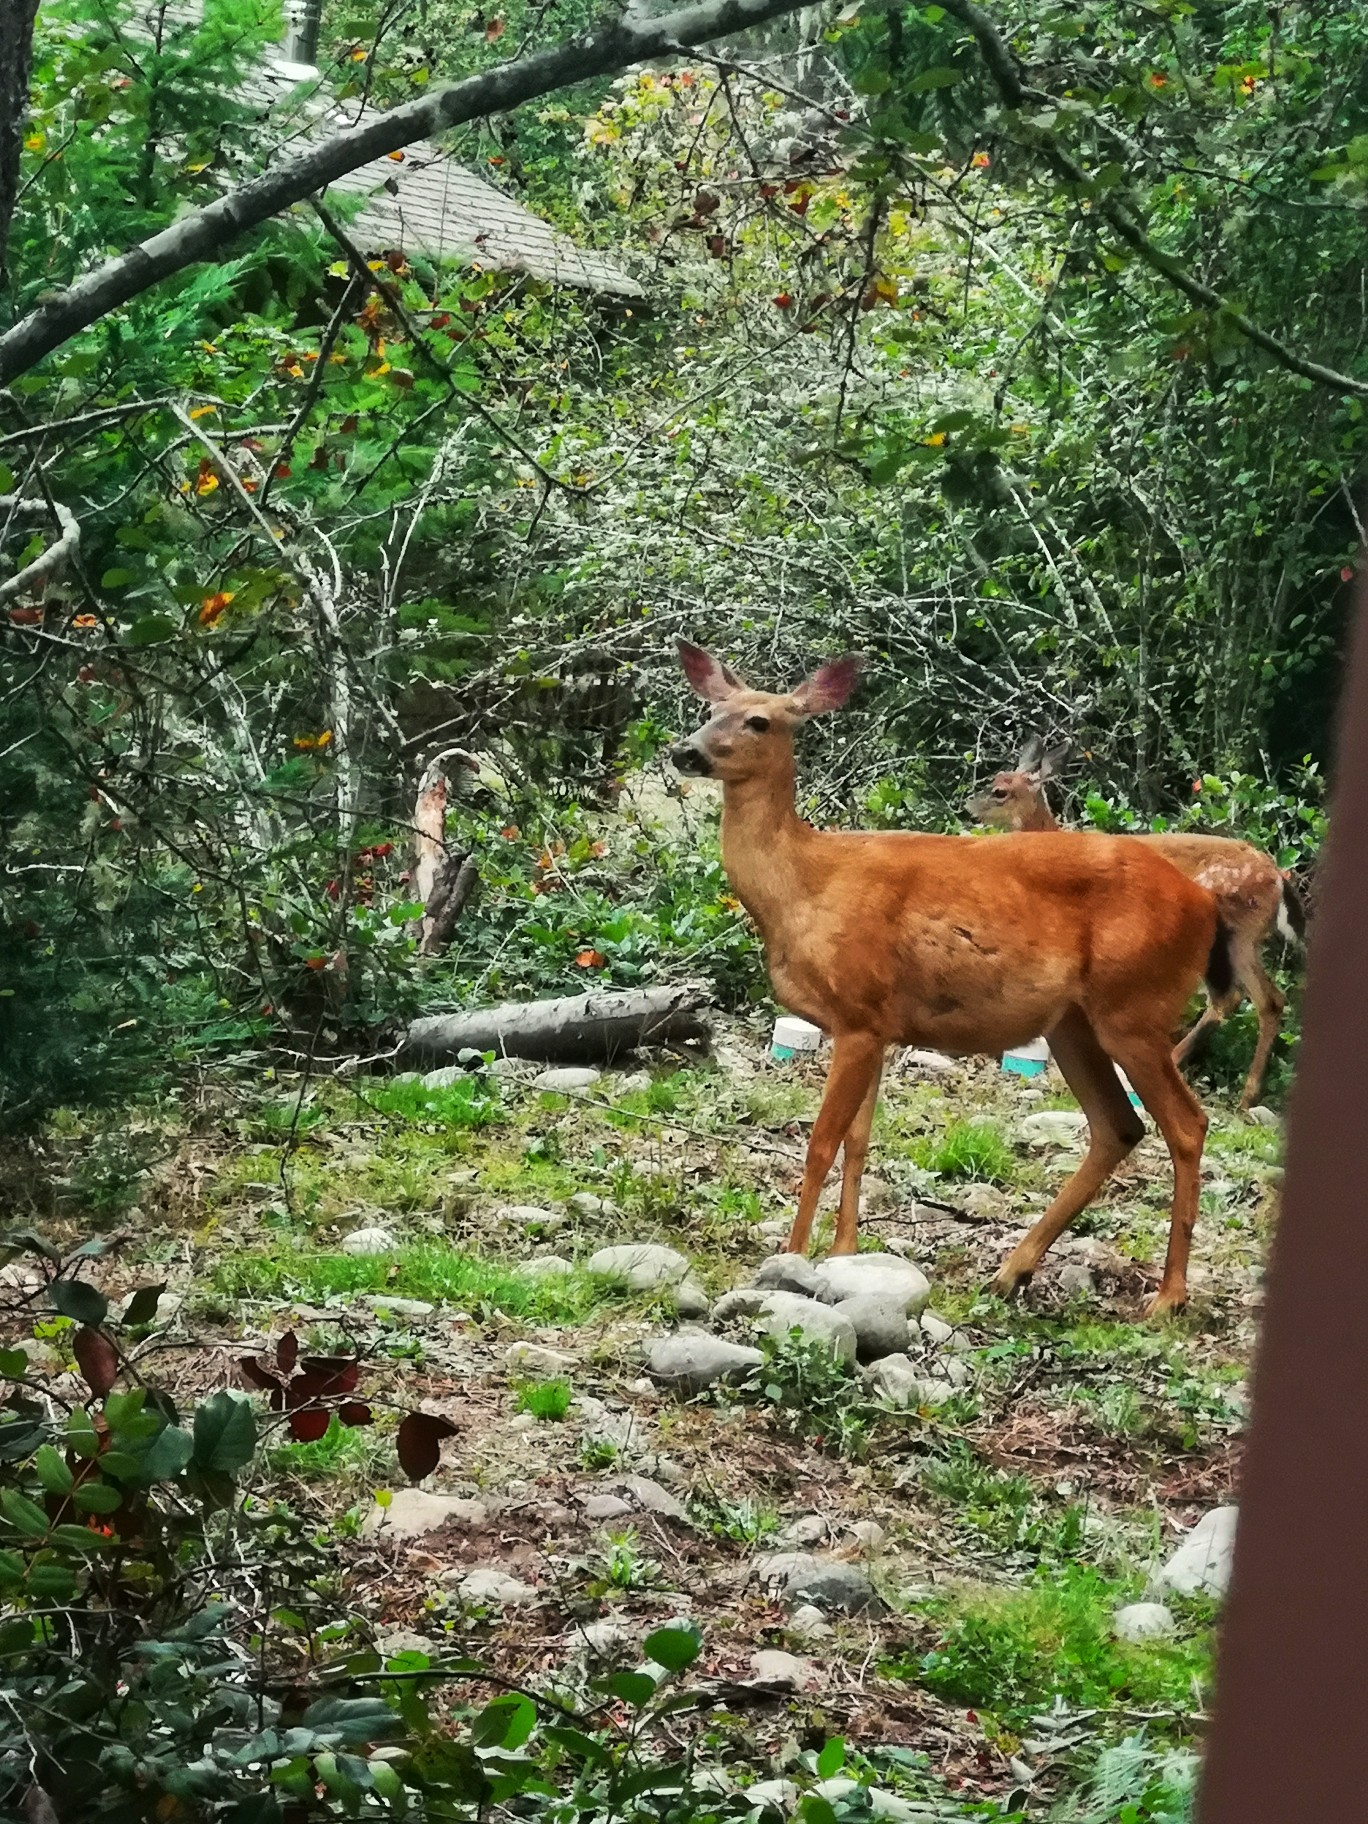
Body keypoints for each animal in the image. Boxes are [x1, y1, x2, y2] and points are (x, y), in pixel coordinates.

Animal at [671, 649, 1240, 1320]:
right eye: (710, 710)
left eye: (760, 720)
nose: (684, 751)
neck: (805, 886)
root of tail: (1205, 905)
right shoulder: (875, 1022)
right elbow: (859, 1140)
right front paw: (843, 1253)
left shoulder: (858, 1012)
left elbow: (821, 1141)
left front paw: (789, 1256)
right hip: (1075, 1024)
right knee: (1119, 1127)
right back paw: (1010, 1273)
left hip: (1135, 1008)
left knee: (1187, 1124)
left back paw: (1168, 1298)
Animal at [963, 736, 1305, 1108]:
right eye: (996, 778)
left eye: (1000, 791)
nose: (969, 806)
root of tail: (1278, 878)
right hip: (1246, 938)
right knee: (1268, 1000)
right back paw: (1245, 1097)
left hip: (1229, 926)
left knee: (1233, 999)